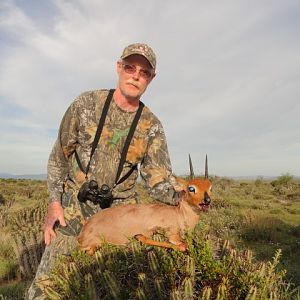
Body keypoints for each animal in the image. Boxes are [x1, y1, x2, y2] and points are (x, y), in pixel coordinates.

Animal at [78, 156, 213, 254]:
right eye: (191, 188)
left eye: (210, 187)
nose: (207, 200)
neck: (179, 214)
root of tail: (82, 234)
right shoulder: (172, 235)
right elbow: (182, 245)